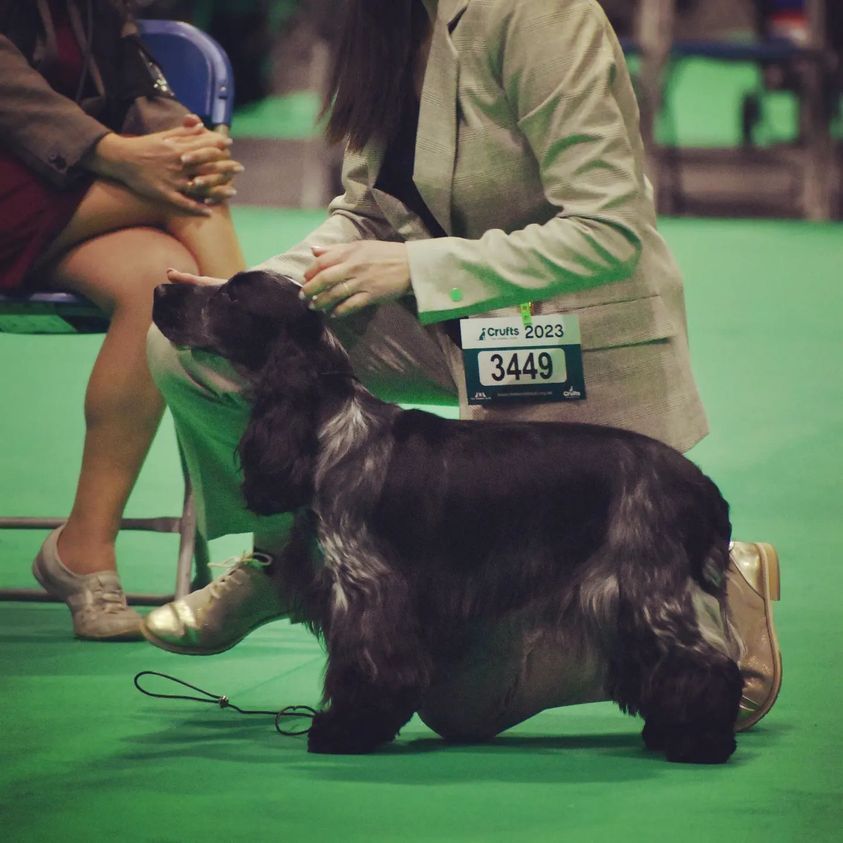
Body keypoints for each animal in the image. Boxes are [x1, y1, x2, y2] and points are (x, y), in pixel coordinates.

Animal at [153, 272, 744, 764]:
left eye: (231, 296)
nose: (161, 289)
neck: (328, 425)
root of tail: (700, 486)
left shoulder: (368, 586)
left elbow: (367, 666)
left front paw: (343, 731)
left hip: (647, 585)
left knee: (707, 662)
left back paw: (700, 742)